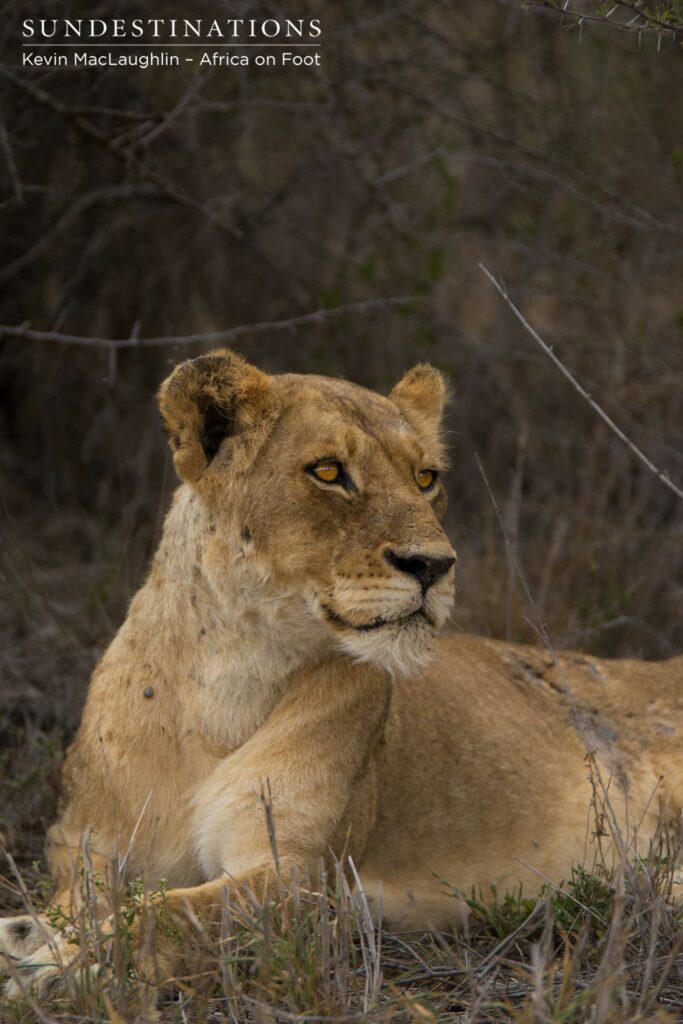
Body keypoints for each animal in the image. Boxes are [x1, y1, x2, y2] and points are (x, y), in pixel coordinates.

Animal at [1, 349, 683, 997]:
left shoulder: (304, 881)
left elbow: (172, 915)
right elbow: (87, 901)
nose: (434, 565)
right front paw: (33, 935)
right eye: (329, 472)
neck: (229, 674)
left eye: (426, 478)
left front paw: (64, 965)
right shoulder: (90, 850)